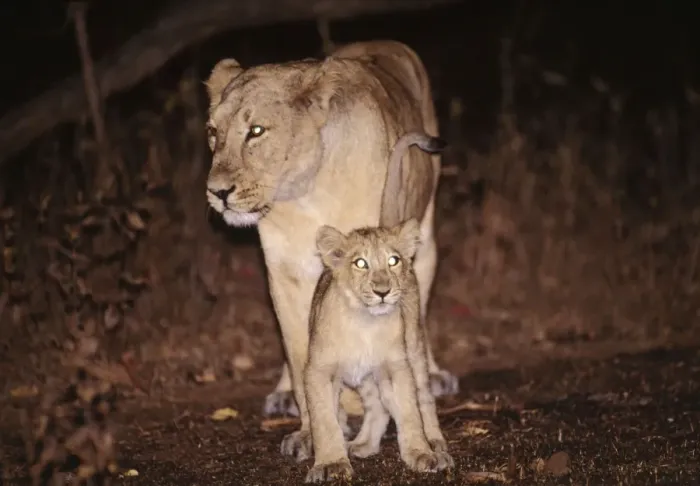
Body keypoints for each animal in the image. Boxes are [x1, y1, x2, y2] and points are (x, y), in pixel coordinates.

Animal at [204, 40, 459, 456]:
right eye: (213, 132)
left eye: (256, 131)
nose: (217, 192)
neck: (305, 194)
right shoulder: (284, 275)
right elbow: (301, 355)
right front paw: (315, 431)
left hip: (426, 239)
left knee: (417, 321)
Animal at [302, 219, 453, 483]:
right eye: (360, 263)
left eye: (393, 260)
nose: (382, 291)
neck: (365, 323)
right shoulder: (319, 370)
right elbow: (324, 420)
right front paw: (331, 464)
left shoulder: (397, 367)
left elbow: (410, 411)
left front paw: (420, 453)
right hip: (366, 376)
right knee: (377, 406)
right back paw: (362, 444)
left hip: (415, 347)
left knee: (424, 398)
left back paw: (436, 444)